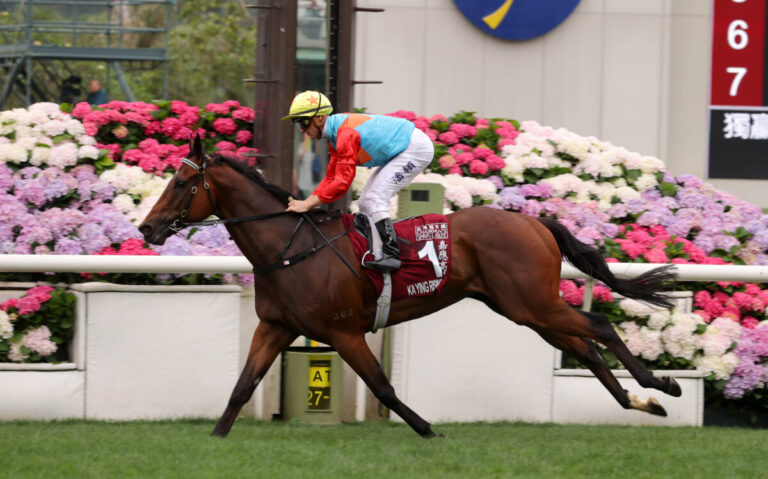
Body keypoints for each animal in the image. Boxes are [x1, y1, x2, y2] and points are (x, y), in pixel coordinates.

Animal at [138, 136, 681, 438]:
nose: (146, 228)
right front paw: (216, 437)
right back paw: (642, 402)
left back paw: (661, 385)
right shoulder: (275, 327)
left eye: (181, 184)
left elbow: (383, 385)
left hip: (531, 302)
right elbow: (241, 387)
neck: (290, 248)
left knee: (599, 324)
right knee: (584, 346)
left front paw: (426, 429)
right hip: (524, 307)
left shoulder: (343, 332)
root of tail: (534, 222)